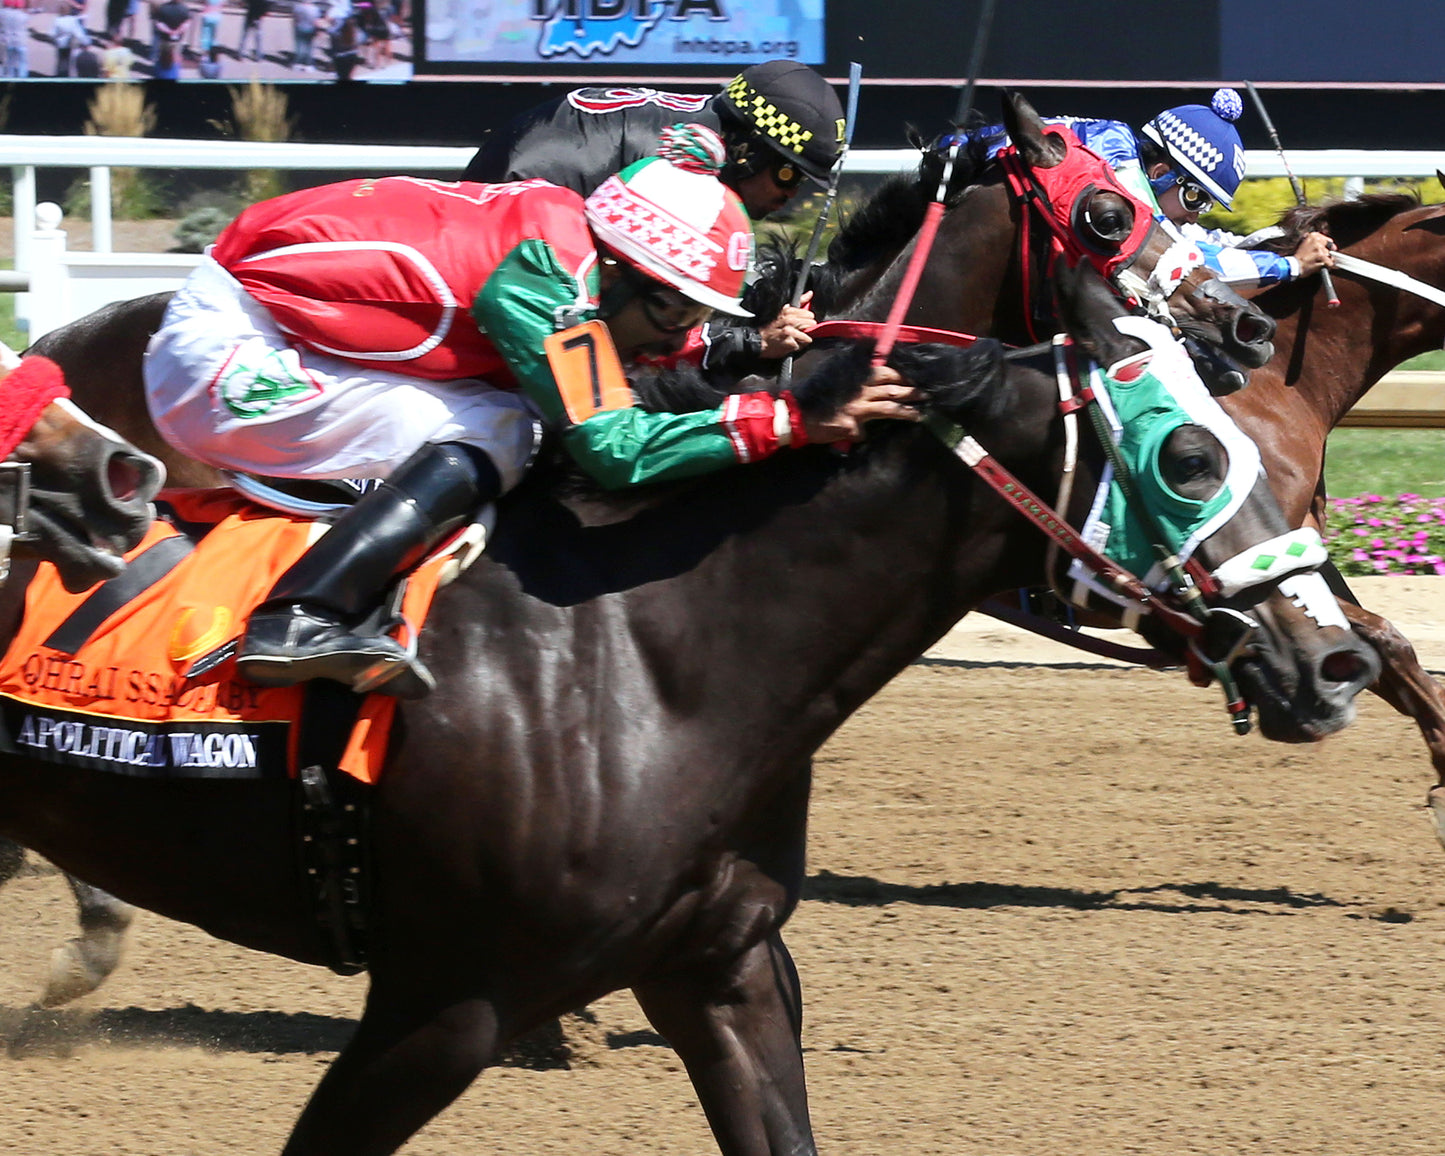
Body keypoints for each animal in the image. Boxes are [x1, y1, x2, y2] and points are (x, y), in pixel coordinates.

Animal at [0, 251, 1377, 1152]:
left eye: (1269, 456)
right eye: (1187, 458)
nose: (1335, 663)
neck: (641, 654)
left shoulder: (721, 967)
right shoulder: (446, 1000)